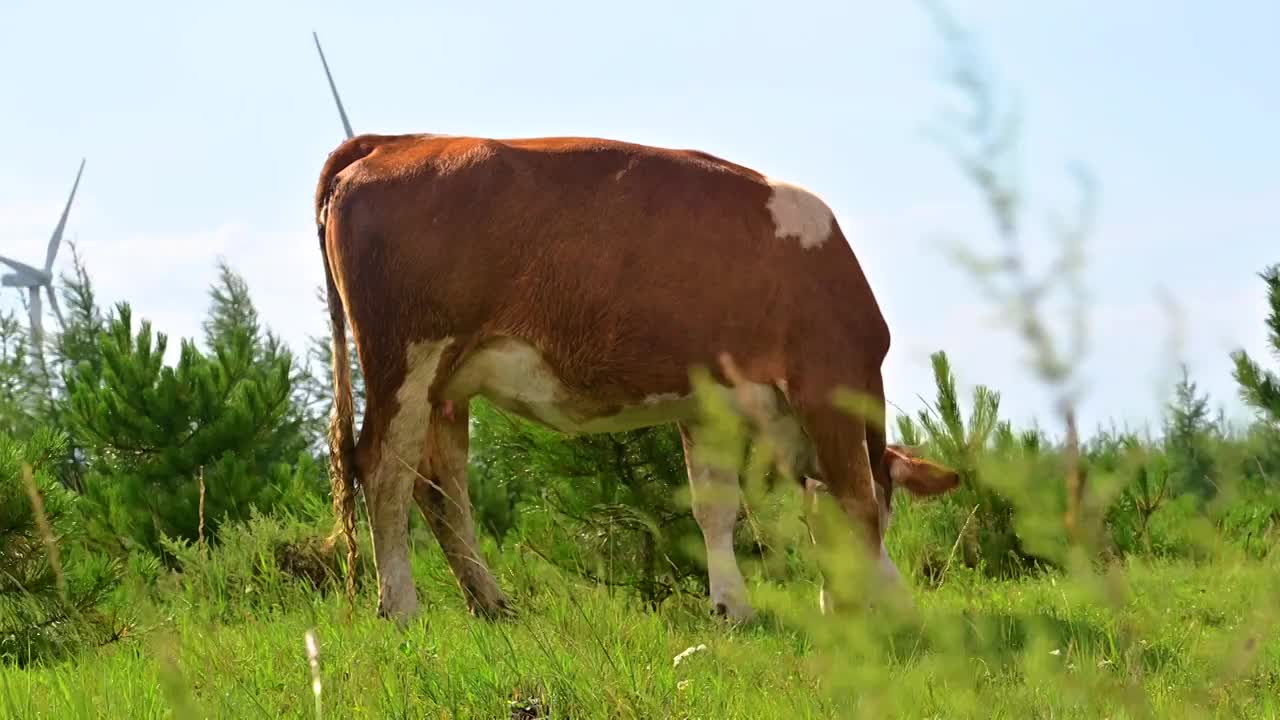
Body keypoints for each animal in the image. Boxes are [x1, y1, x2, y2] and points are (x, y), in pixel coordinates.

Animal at [317, 133, 962, 622]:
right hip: (406, 357)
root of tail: (397, 141)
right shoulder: (827, 382)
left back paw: (493, 605)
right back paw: (401, 608)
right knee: (383, 469)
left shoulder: (710, 406)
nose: (844, 607)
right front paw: (901, 611)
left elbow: (716, 506)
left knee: (440, 488)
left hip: (446, 385)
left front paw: (732, 608)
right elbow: (858, 502)